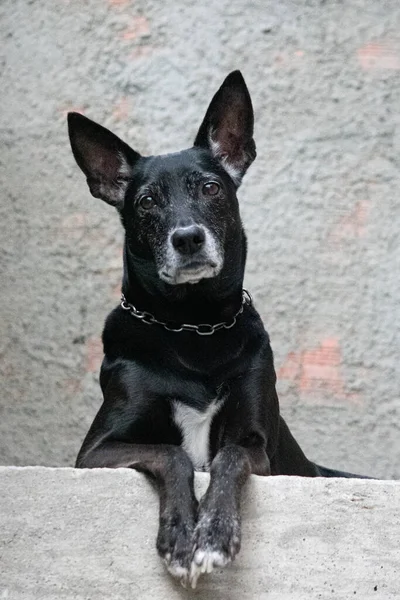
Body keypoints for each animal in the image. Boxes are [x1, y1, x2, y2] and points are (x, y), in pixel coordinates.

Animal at [68, 70, 368, 584]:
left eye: (210, 188)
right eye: (146, 201)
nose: (187, 239)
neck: (194, 327)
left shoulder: (258, 447)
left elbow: (227, 458)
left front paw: (211, 537)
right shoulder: (96, 451)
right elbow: (173, 454)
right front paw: (179, 539)